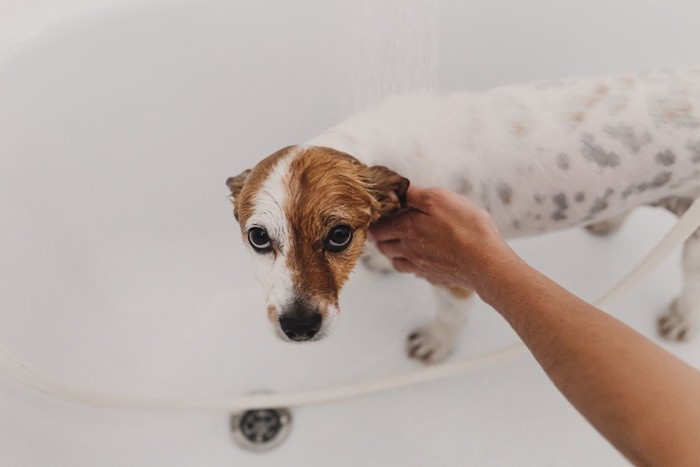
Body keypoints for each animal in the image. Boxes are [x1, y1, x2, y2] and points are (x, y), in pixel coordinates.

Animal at [227, 67, 700, 364]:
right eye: (258, 237)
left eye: (339, 234)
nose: (299, 326)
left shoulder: (453, 274)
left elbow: (451, 316)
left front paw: (435, 343)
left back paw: (681, 319)